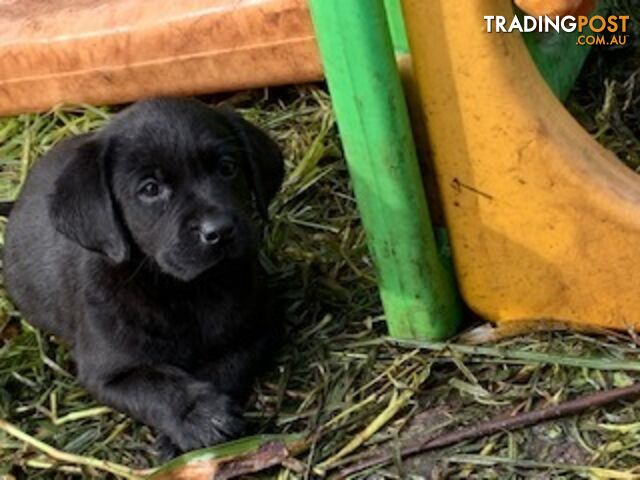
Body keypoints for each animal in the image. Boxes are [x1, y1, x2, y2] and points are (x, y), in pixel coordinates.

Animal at [2, 97, 282, 458]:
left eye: (227, 167)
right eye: (150, 189)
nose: (218, 230)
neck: (185, 291)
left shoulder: (256, 330)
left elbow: (225, 366)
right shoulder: (109, 373)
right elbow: (157, 386)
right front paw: (199, 416)